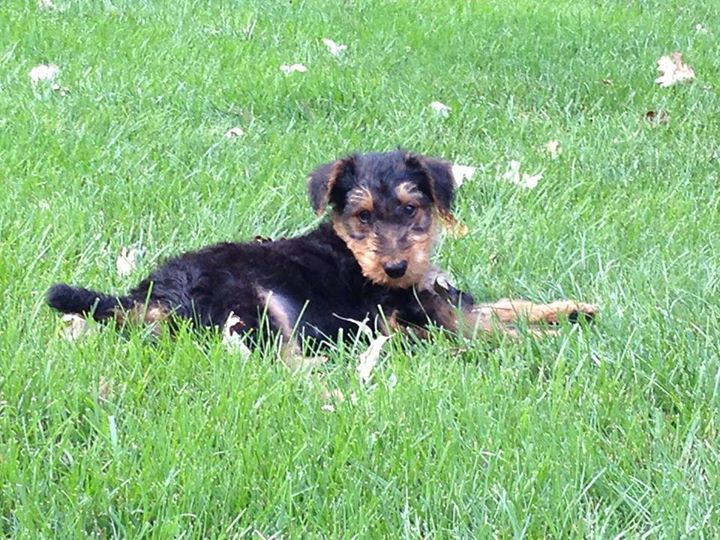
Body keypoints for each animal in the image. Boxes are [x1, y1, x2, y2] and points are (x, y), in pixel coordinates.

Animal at [46, 152, 596, 346]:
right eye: (363, 216)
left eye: (411, 209)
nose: (396, 267)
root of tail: (144, 297)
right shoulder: (414, 313)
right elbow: (486, 326)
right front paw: (545, 343)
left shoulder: (431, 298)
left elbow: (505, 306)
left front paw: (573, 309)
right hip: (253, 307)